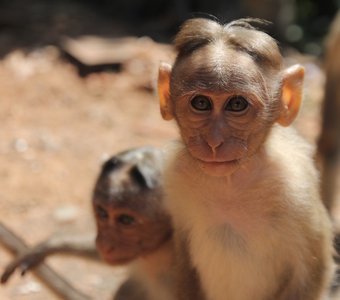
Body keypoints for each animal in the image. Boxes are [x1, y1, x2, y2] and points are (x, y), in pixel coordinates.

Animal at [158, 18, 334, 300]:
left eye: (237, 104)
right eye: (200, 103)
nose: (214, 142)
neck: (232, 182)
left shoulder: (297, 188)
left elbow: (313, 272)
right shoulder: (178, 177)